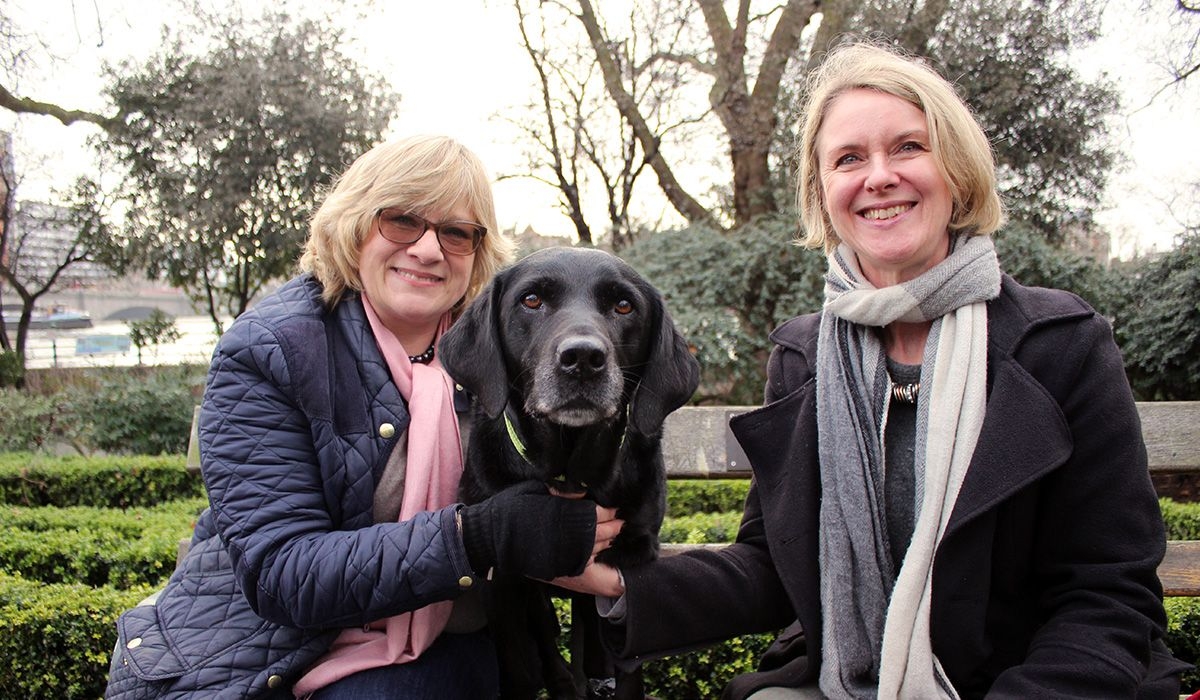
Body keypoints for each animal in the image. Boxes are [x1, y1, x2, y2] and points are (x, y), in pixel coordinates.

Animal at [441, 247, 700, 700]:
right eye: (531, 300)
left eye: (624, 305)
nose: (583, 359)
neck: (570, 476)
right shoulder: (502, 579)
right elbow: (526, 663)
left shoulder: (631, 560)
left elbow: (622, 660)